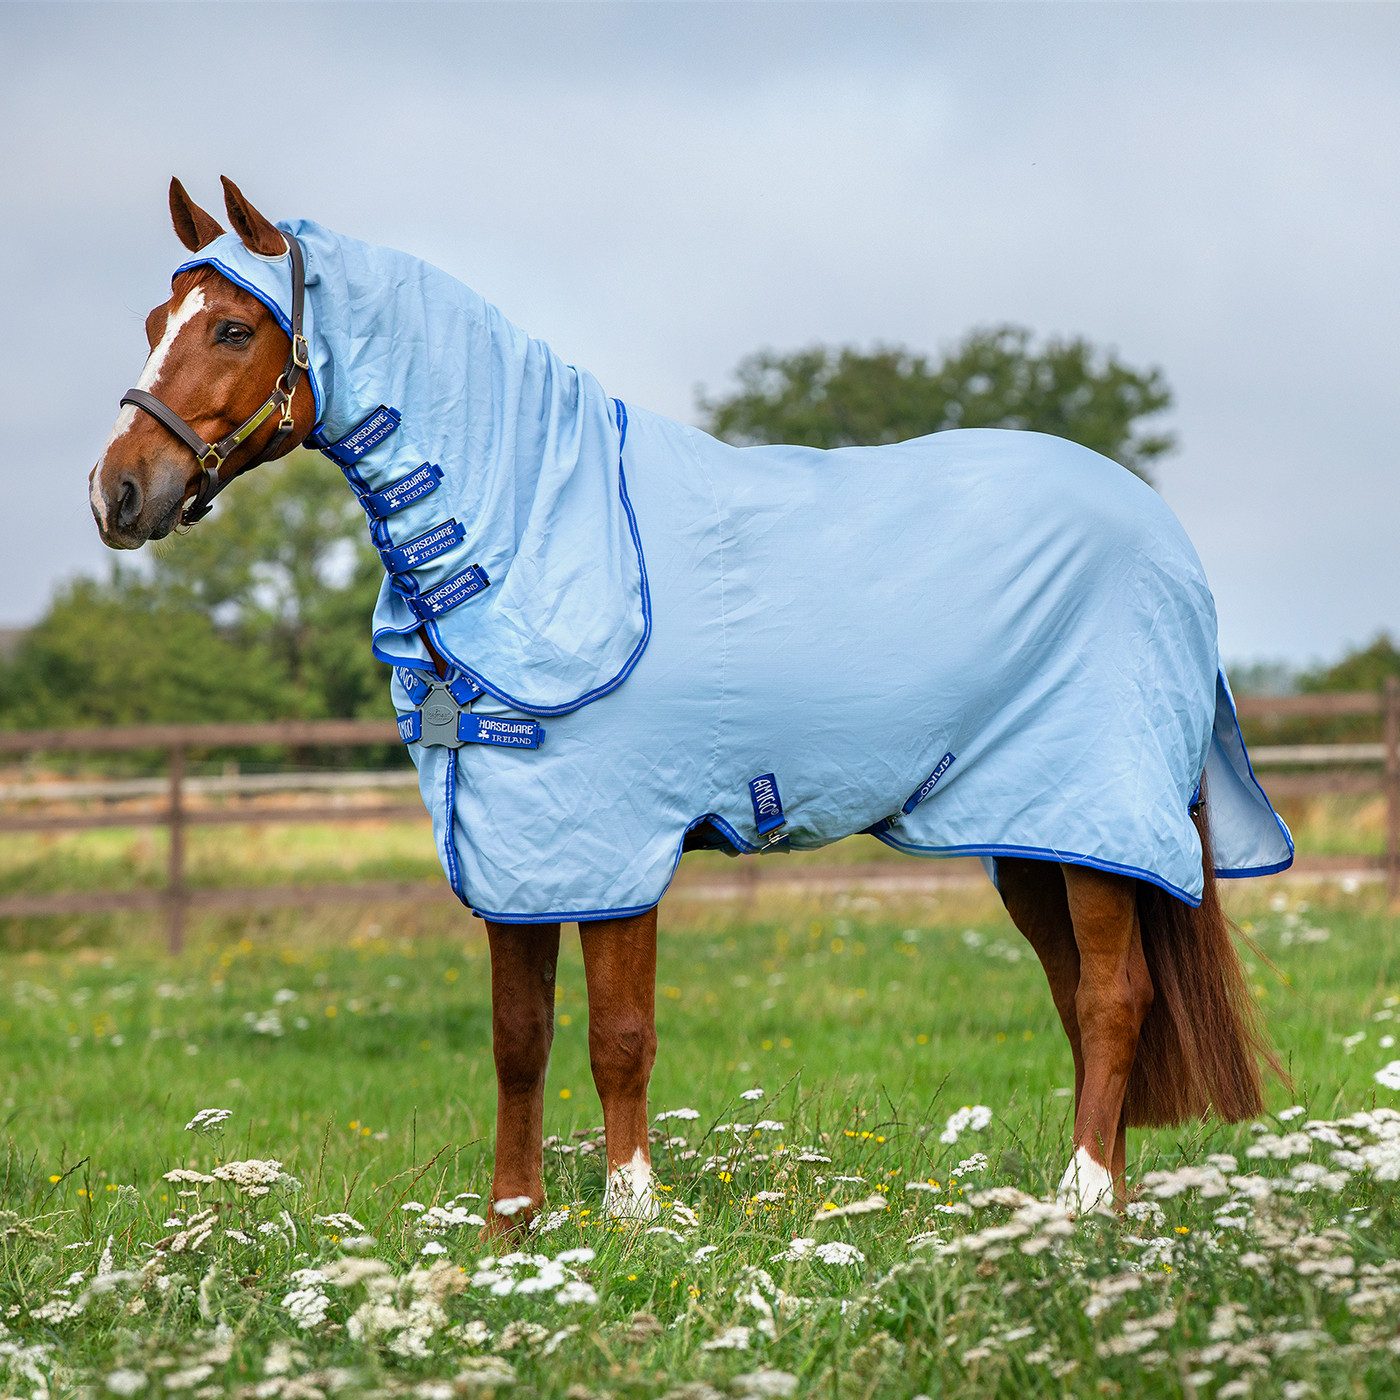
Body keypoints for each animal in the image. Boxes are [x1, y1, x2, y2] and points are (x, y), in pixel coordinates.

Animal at [89, 177, 1292, 1232]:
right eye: (153, 318)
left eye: (233, 328)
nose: (118, 493)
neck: (538, 529)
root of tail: (1161, 532)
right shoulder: (517, 846)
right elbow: (518, 1039)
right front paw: (508, 1229)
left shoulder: (612, 837)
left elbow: (618, 1033)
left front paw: (630, 1213)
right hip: (1030, 832)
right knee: (1081, 994)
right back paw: (1098, 1209)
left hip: (1096, 817)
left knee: (1112, 998)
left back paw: (1083, 1201)